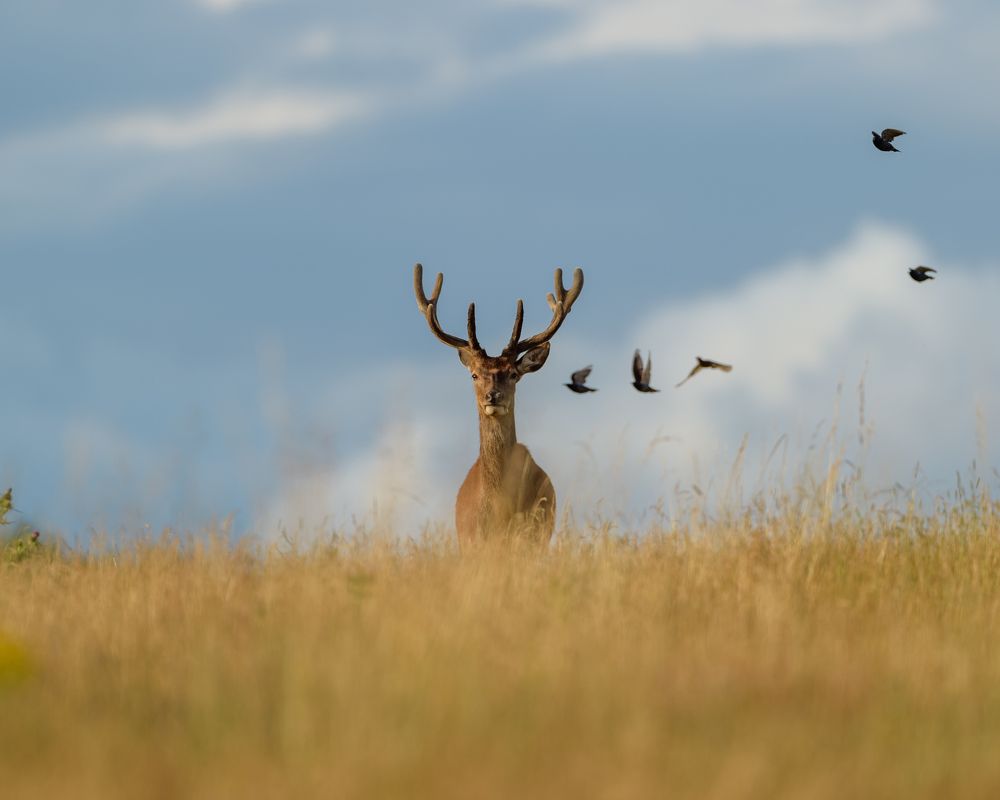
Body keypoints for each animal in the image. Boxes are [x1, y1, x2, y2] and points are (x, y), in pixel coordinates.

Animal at [413, 263, 584, 547]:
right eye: (474, 375)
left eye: (513, 374)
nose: (493, 396)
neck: (499, 507)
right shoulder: (472, 540)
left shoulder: (534, 534)